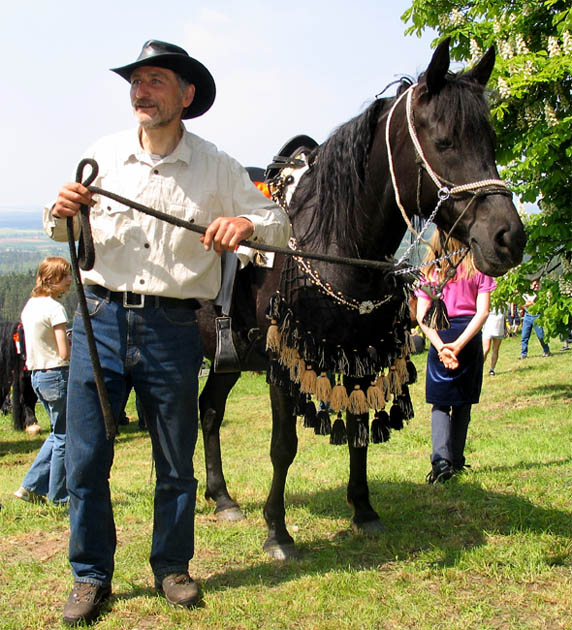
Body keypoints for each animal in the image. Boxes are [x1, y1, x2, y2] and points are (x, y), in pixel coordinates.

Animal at [196, 39, 524, 560]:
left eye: (491, 141)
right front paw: (278, 532)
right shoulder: (282, 364)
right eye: (445, 141)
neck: (330, 242)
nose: (508, 237)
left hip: (226, 359)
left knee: (209, 411)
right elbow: (283, 446)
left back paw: (223, 497)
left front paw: (364, 510)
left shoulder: (358, 357)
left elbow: (359, 432)